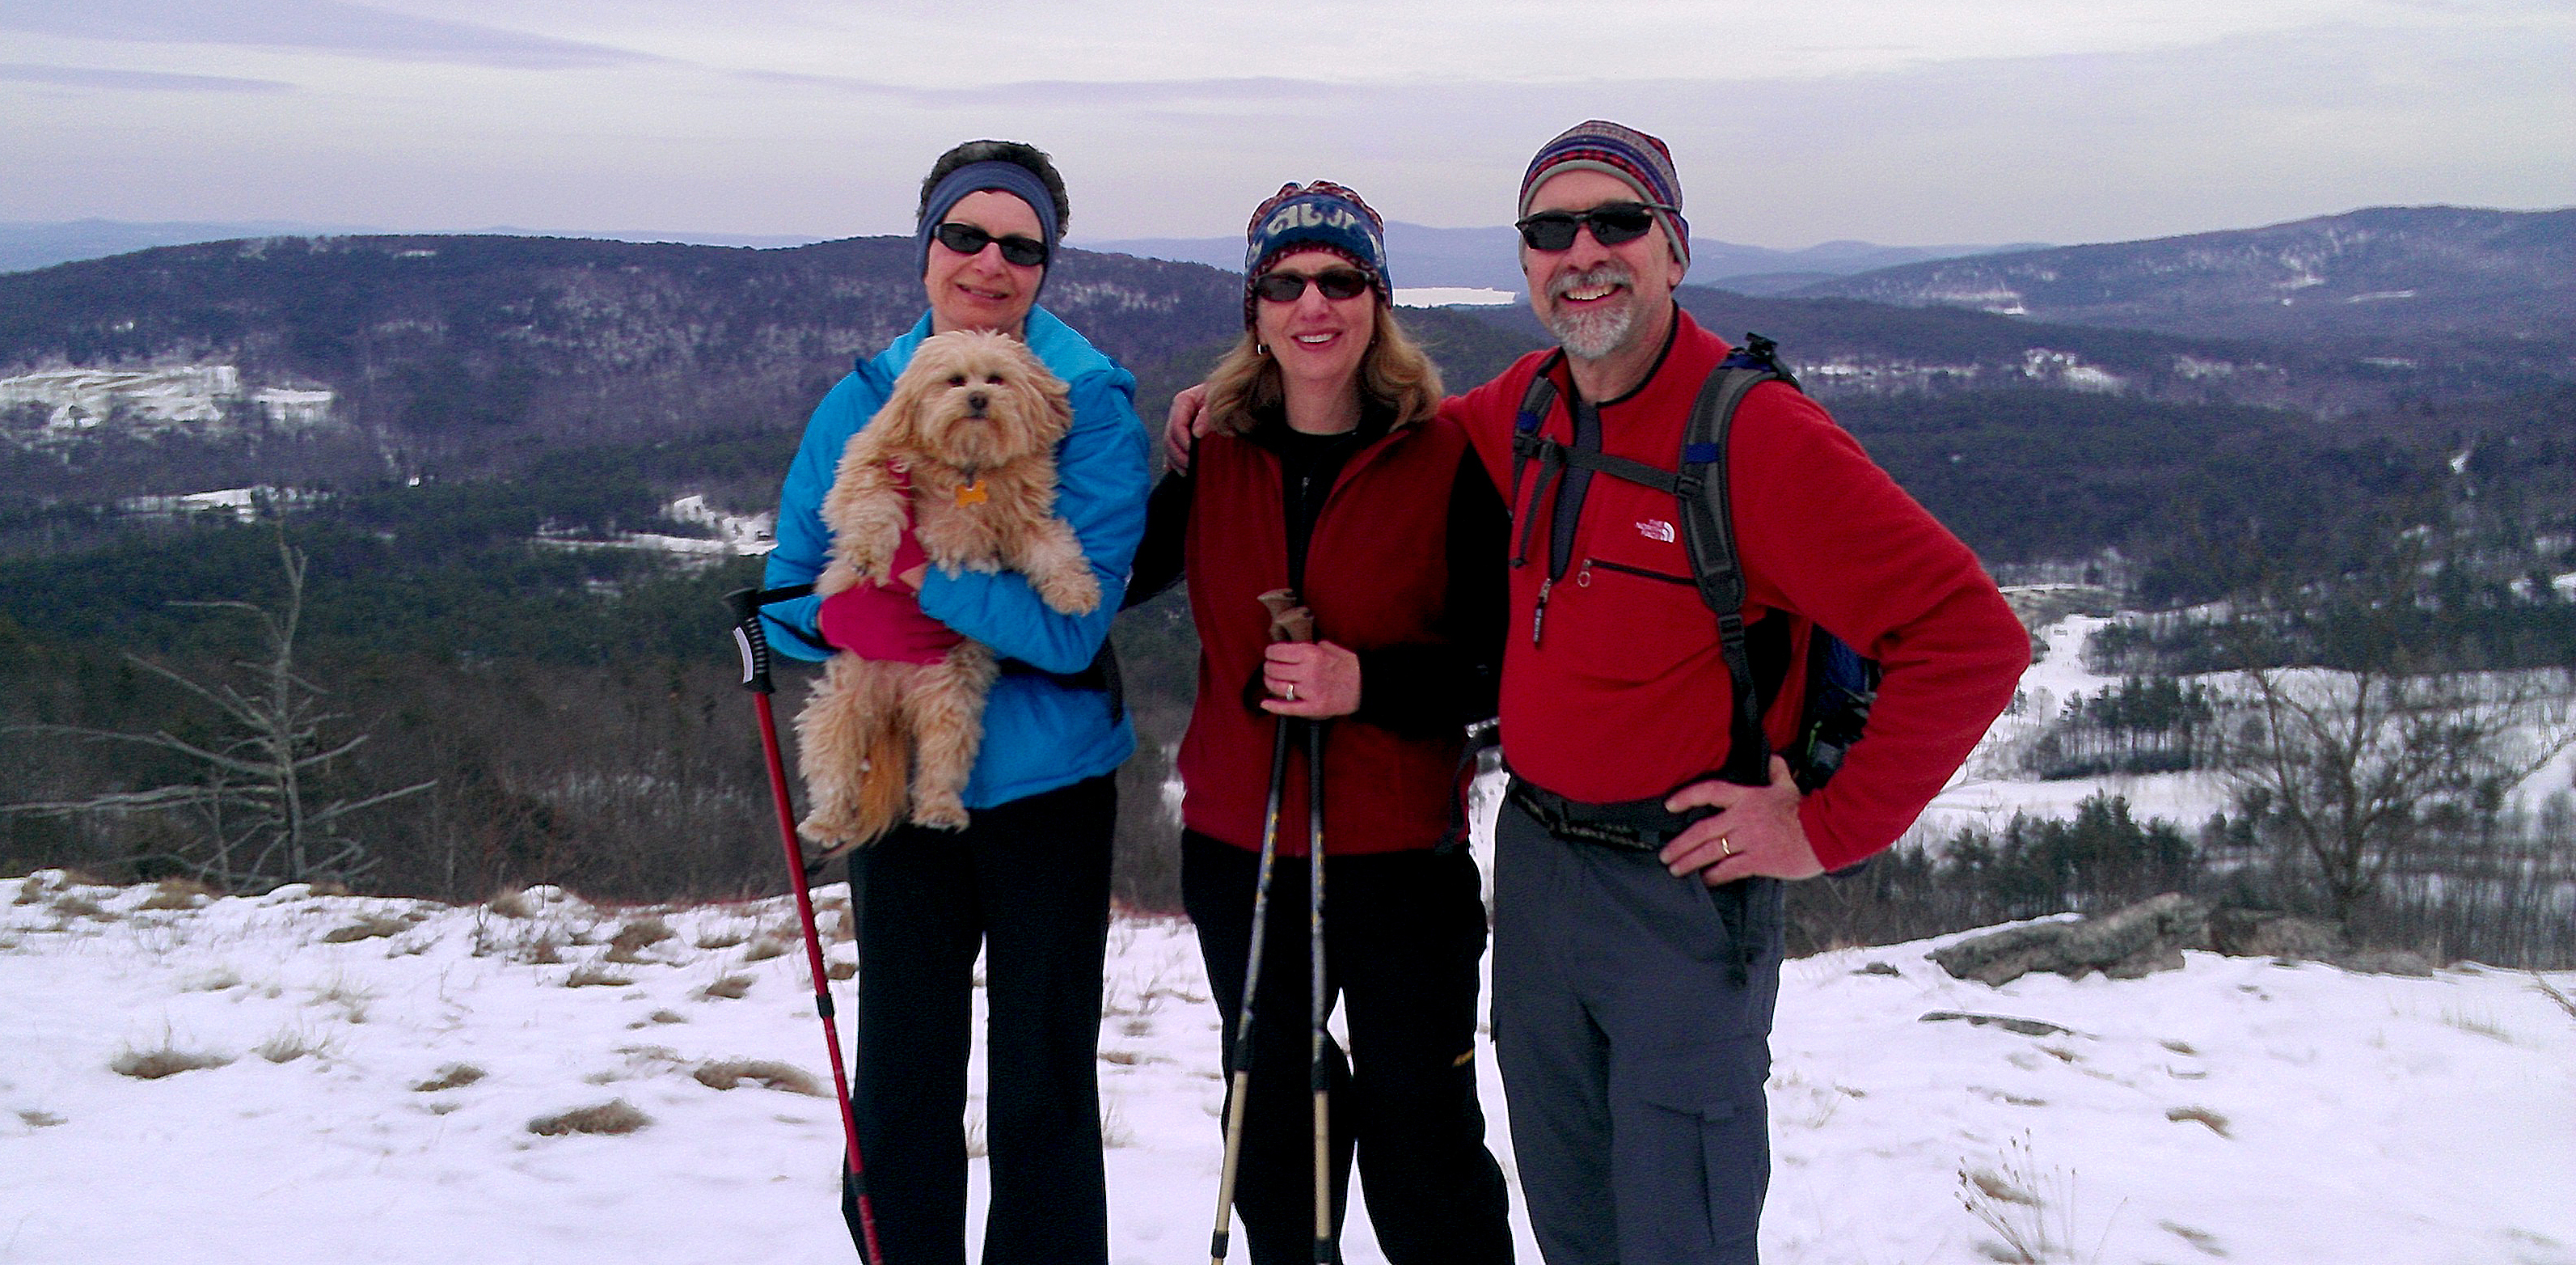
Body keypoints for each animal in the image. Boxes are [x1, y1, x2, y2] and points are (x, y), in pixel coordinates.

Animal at [793, 332, 1097, 855]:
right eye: (954, 380)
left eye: (995, 379)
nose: (977, 398)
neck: (967, 467)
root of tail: (897, 701)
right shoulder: (871, 467)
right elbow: (873, 503)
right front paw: (869, 551)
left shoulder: (1021, 521)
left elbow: (1053, 546)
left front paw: (1076, 590)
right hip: (843, 706)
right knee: (833, 765)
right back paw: (826, 821)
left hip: (950, 701)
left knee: (941, 761)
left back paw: (940, 810)